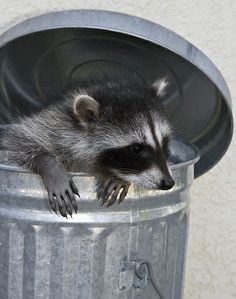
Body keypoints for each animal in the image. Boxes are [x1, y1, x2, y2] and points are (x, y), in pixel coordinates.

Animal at [0, 78, 173, 217]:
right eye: (136, 149)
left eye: (164, 142)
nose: (169, 183)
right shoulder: (51, 125)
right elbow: (18, 143)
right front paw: (50, 165)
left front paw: (119, 178)